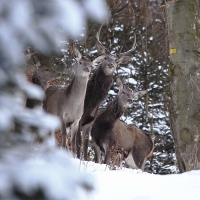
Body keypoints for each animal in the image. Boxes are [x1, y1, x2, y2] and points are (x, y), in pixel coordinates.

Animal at [77, 25, 137, 159]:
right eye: (105, 57)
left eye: (117, 62)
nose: (110, 64)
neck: (89, 103)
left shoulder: (88, 123)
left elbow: (85, 147)